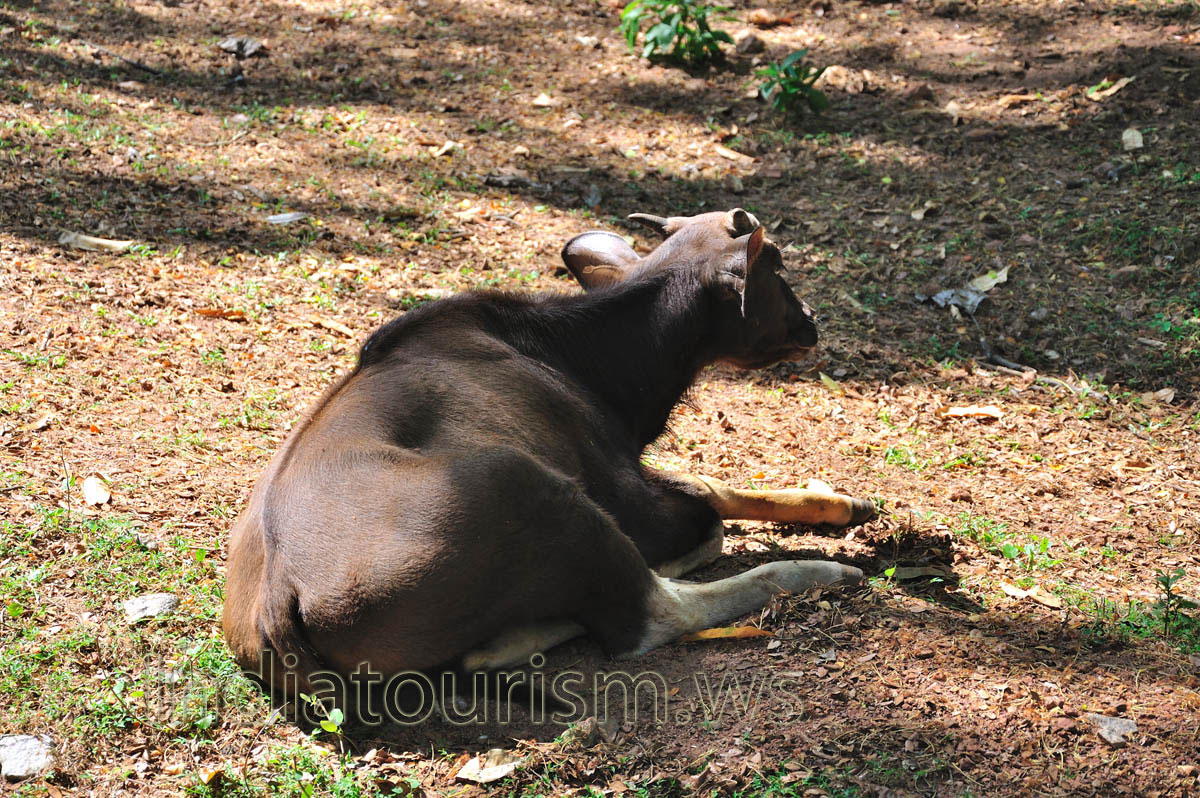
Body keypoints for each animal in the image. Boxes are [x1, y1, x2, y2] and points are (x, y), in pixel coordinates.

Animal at [222, 208, 875, 716]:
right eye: (778, 265)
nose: (811, 321)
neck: (580, 359)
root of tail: (277, 603)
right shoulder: (624, 495)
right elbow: (707, 513)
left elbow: (711, 484)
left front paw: (847, 504)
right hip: (525, 484)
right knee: (649, 615)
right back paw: (822, 573)